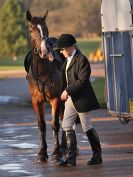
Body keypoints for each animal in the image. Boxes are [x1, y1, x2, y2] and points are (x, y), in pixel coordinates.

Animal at [25, 9, 64, 162]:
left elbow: (55, 124)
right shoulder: (36, 101)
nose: (44, 51)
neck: (42, 71)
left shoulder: (56, 99)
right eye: (31, 29)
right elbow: (41, 124)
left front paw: (57, 153)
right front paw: (42, 152)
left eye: (46, 29)